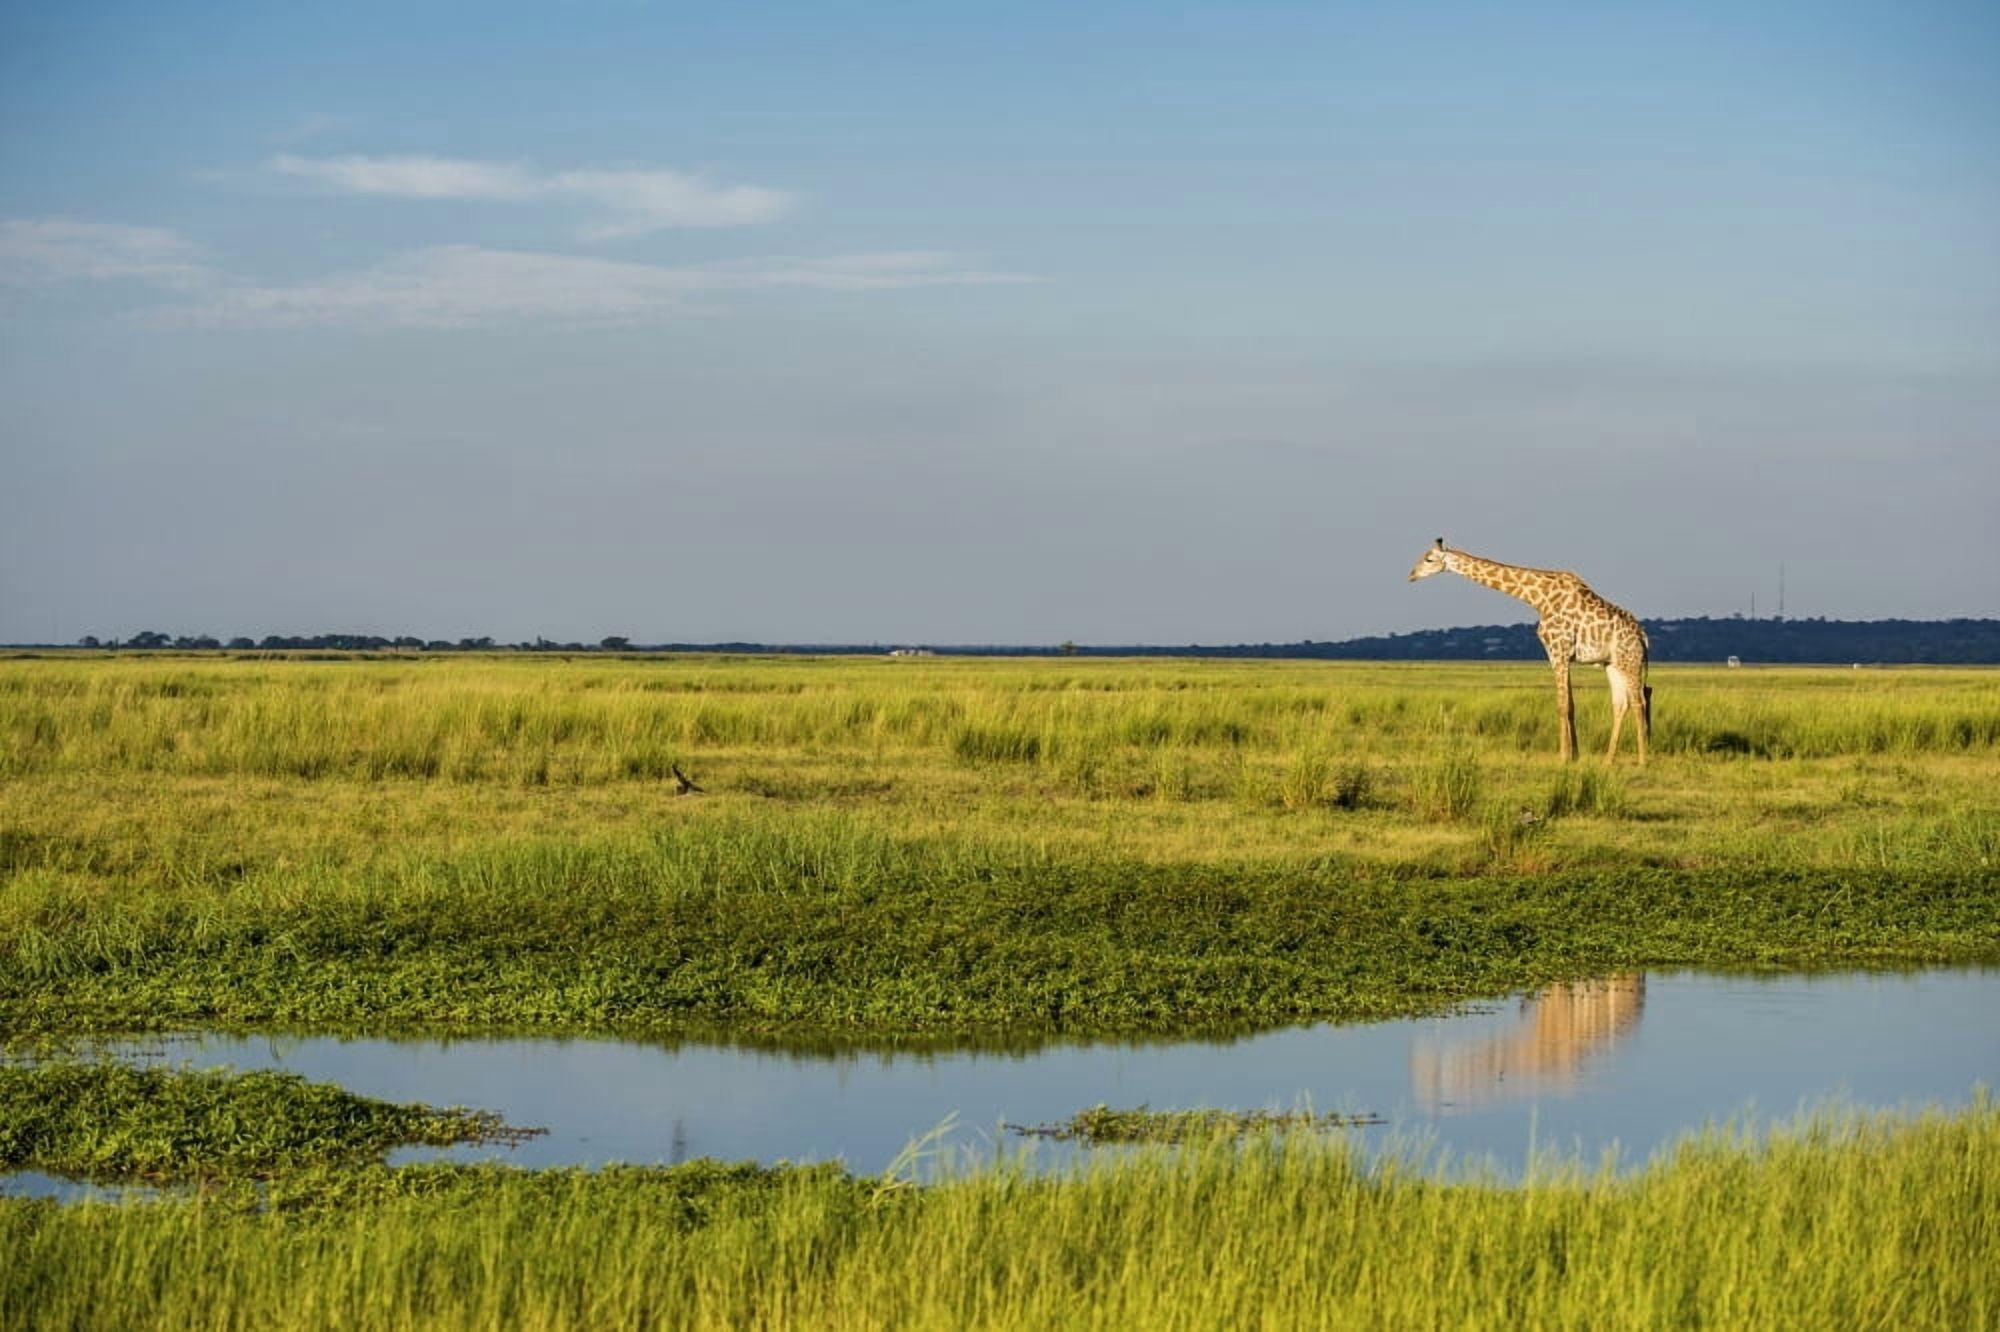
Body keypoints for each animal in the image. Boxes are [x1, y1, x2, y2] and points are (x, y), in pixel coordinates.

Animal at [1408, 538, 1652, 764]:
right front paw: (1575, 756)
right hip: (1613, 664)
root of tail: (1643, 637)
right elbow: (1571, 704)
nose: (1411, 575)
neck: (1538, 598)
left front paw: (1563, 758)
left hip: (1630, 660)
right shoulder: (1560, 654)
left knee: (1639, 702)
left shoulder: (1558, 651)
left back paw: (1642, 760)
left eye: (1429, 559)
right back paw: (1608, 761)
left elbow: (1563, 705)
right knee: (1621, 704)